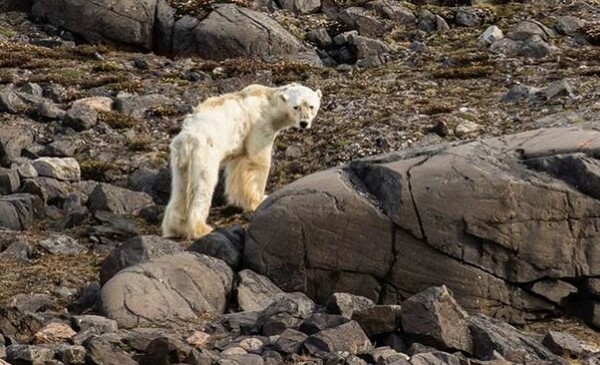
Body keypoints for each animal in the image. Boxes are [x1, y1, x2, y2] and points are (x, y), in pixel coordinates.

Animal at [161, 82, 324, 239]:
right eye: (296, 106)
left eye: (311, 106)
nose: (304, 123)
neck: (269, 102)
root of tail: (188, 138)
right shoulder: (260, 124)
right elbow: (257, 161)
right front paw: (261, 198)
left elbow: (238, 166)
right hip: (205, 153)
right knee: (203, 185)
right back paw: (201, 229)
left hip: (180, 159)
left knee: (180, 188)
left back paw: (175, 228)